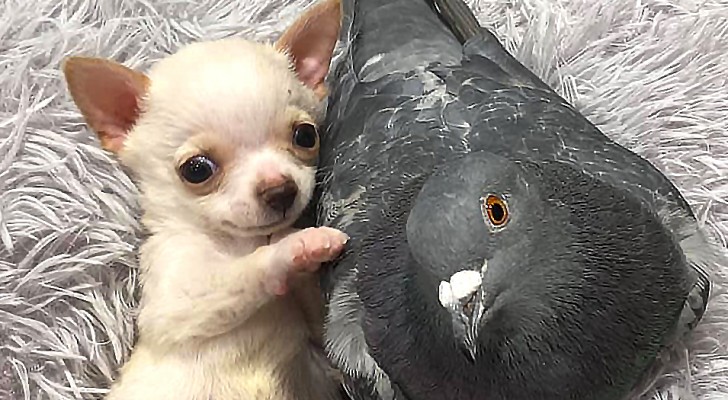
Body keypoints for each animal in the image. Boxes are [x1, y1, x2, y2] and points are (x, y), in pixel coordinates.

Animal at [63, 0, 346, 400]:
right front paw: (294, 245)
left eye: (306, 136)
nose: (280, 190)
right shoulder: (174, 302)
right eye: (197, 170)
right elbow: (243, 273)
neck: (238, 241)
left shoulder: (317, 339)